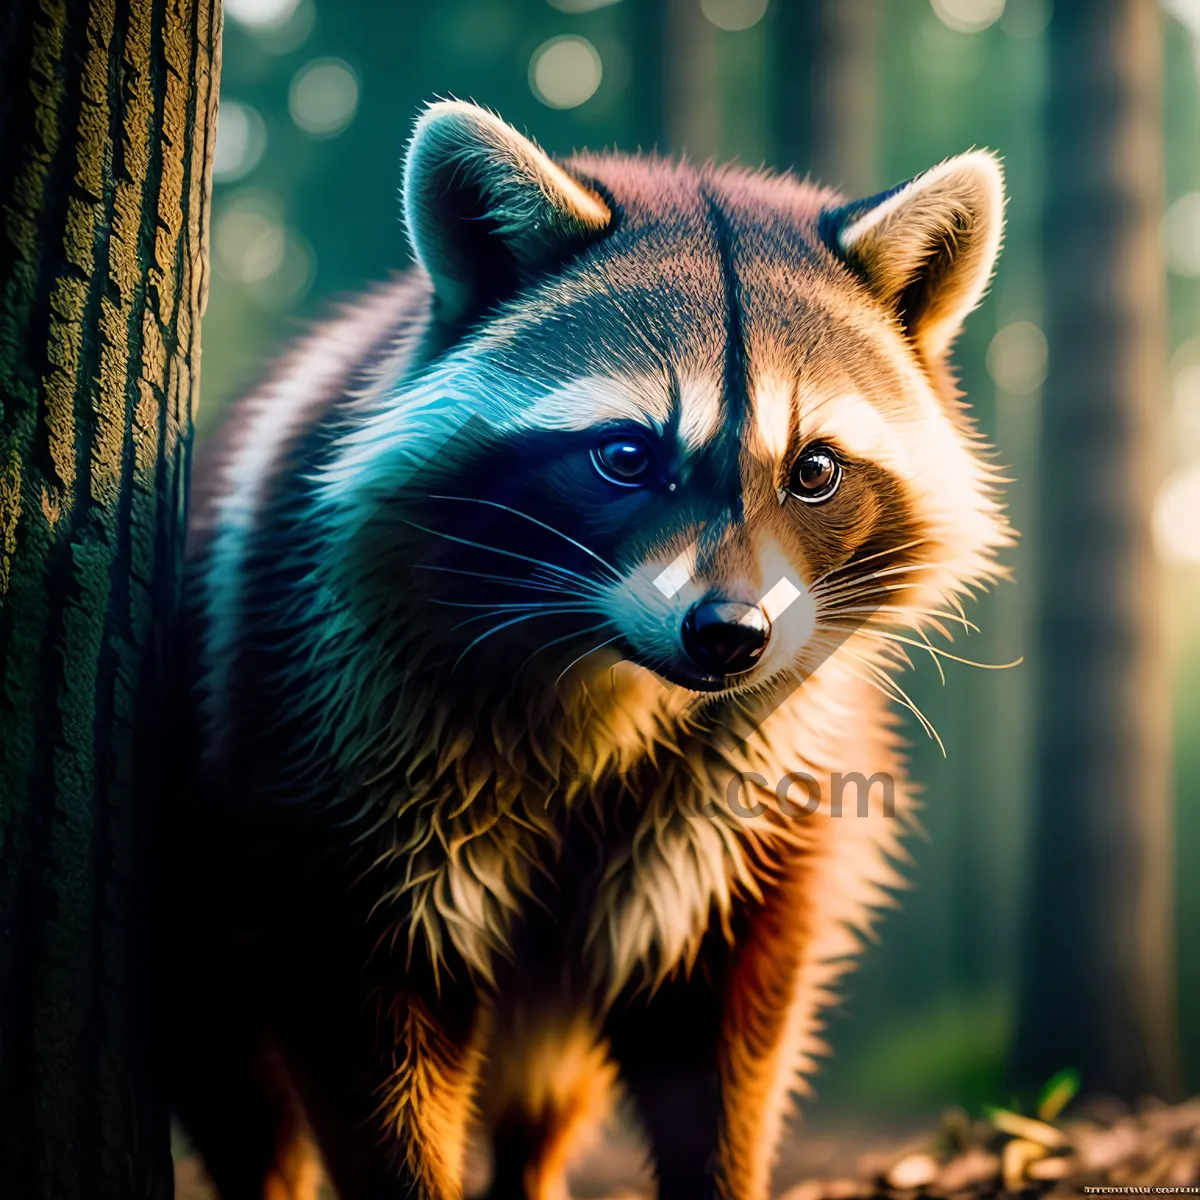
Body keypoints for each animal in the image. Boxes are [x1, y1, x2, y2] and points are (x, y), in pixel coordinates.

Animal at [169, 103, 1008, 1200]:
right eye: (625, 457)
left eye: (815, 471)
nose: (729, 635)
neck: (613, 671)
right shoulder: (328, 717)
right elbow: (365, 1020)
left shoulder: (761, 803)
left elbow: (724, 1045)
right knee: (233, 1082)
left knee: (547, 1098)